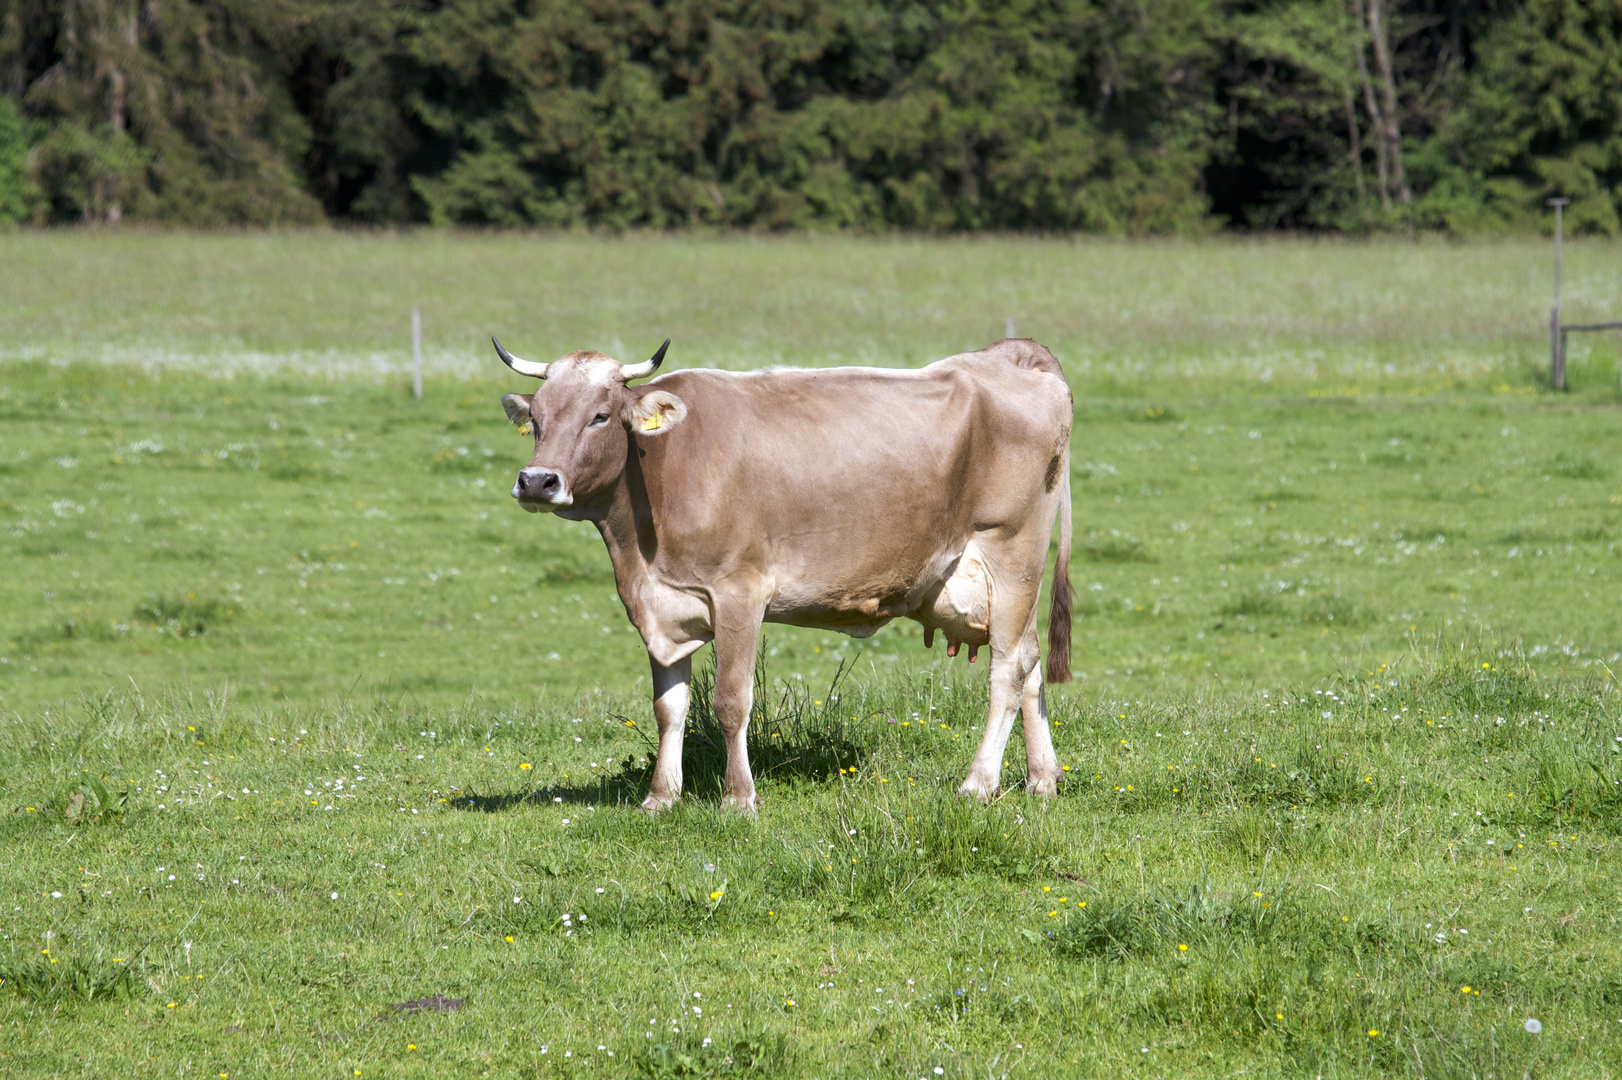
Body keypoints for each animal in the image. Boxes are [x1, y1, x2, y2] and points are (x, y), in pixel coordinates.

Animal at [493, 337, 1077, 807]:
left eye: (600, 415)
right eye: (537, 418)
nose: (538, 481)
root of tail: (1006, 356)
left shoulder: (739, 593)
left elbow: (731, 702)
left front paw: (738, 798)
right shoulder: (661, 605)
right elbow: (669, 708)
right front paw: (660, 797)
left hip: (1013, 553)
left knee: (1007, 670)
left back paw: (978, 783)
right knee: (1029, 664)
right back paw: (1041, 779)